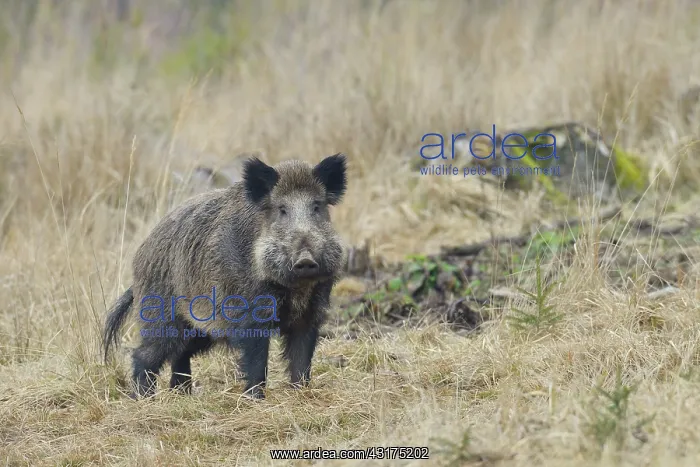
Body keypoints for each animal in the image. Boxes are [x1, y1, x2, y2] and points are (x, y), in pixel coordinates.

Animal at [103, 154, 348, 400]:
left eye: (316, 206)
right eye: (282, 209)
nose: (305, 260)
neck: (296, 289)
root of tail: (140, 256)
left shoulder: (310, 314)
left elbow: (301, 358)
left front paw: (302, 392)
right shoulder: (250, 315)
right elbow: (257, 361)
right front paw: (255, 399)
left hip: (201, 329)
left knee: (180, 354)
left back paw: (184, 394)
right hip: (162, 314)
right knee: (145, 355)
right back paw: (145, 398)